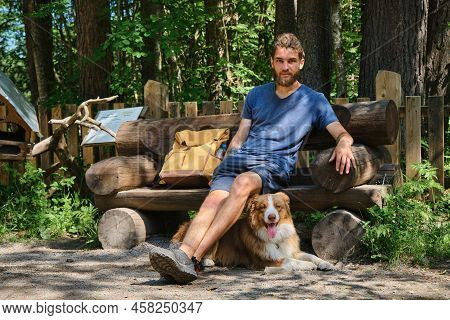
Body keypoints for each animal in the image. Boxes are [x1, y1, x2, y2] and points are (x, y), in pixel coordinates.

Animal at [172, 191, 334, 272]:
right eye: (262, 207)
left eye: (278, 206)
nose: (271, 216)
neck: (275, 239)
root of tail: (186, 225)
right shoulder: (264, 261)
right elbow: (290, 260)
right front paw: (308, 266)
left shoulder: (292, 251)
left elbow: (311, 255)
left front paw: (325, 263)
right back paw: (206, 261)